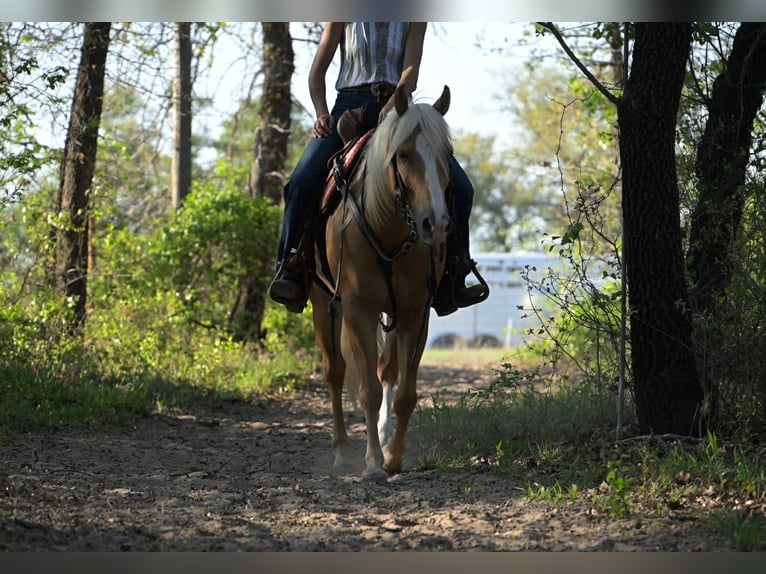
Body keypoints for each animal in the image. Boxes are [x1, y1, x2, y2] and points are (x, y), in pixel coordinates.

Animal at [310, 84, 453, 482]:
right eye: (402, 155)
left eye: (447, 155)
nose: (436, 225)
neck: (388, 229)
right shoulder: (358, 309)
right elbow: (369, 391)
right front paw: (372, 463)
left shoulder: (415, 313)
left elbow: (404, 393)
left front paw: (393, 457)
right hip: (323, 305)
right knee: (335, 373)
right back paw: (342, 453)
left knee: (385, 369)